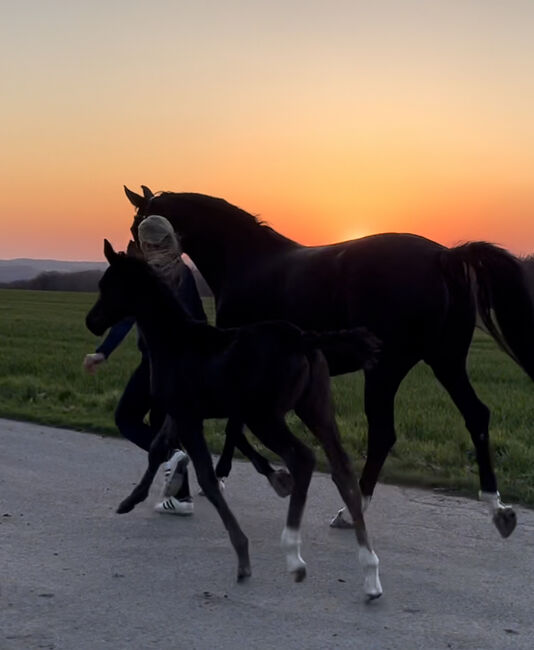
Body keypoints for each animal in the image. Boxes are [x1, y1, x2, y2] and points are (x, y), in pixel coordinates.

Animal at [86, 240, 384, 596]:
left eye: (107, 285)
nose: (92, 321)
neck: (175, 340)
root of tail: (304, 338)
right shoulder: (179, 411)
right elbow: (158, 448)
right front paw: (130, 500)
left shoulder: (190, 418)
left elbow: (207, 478)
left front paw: (242, 556)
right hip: (316, 410)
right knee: (343, 470)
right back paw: (370, 572)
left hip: (264, 417)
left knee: (303, 458)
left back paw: (293, 556)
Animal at [126, 184, 534, 536]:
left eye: (137, 223)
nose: (130, 270)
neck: (246, 260)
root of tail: (442, 256)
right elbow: (235, 425)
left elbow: (234, 427)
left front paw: (245, 475)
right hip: (445, 361)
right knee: (476, 415)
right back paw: (497, 507)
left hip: (387, 369)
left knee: (383, 433)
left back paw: (350, 511)